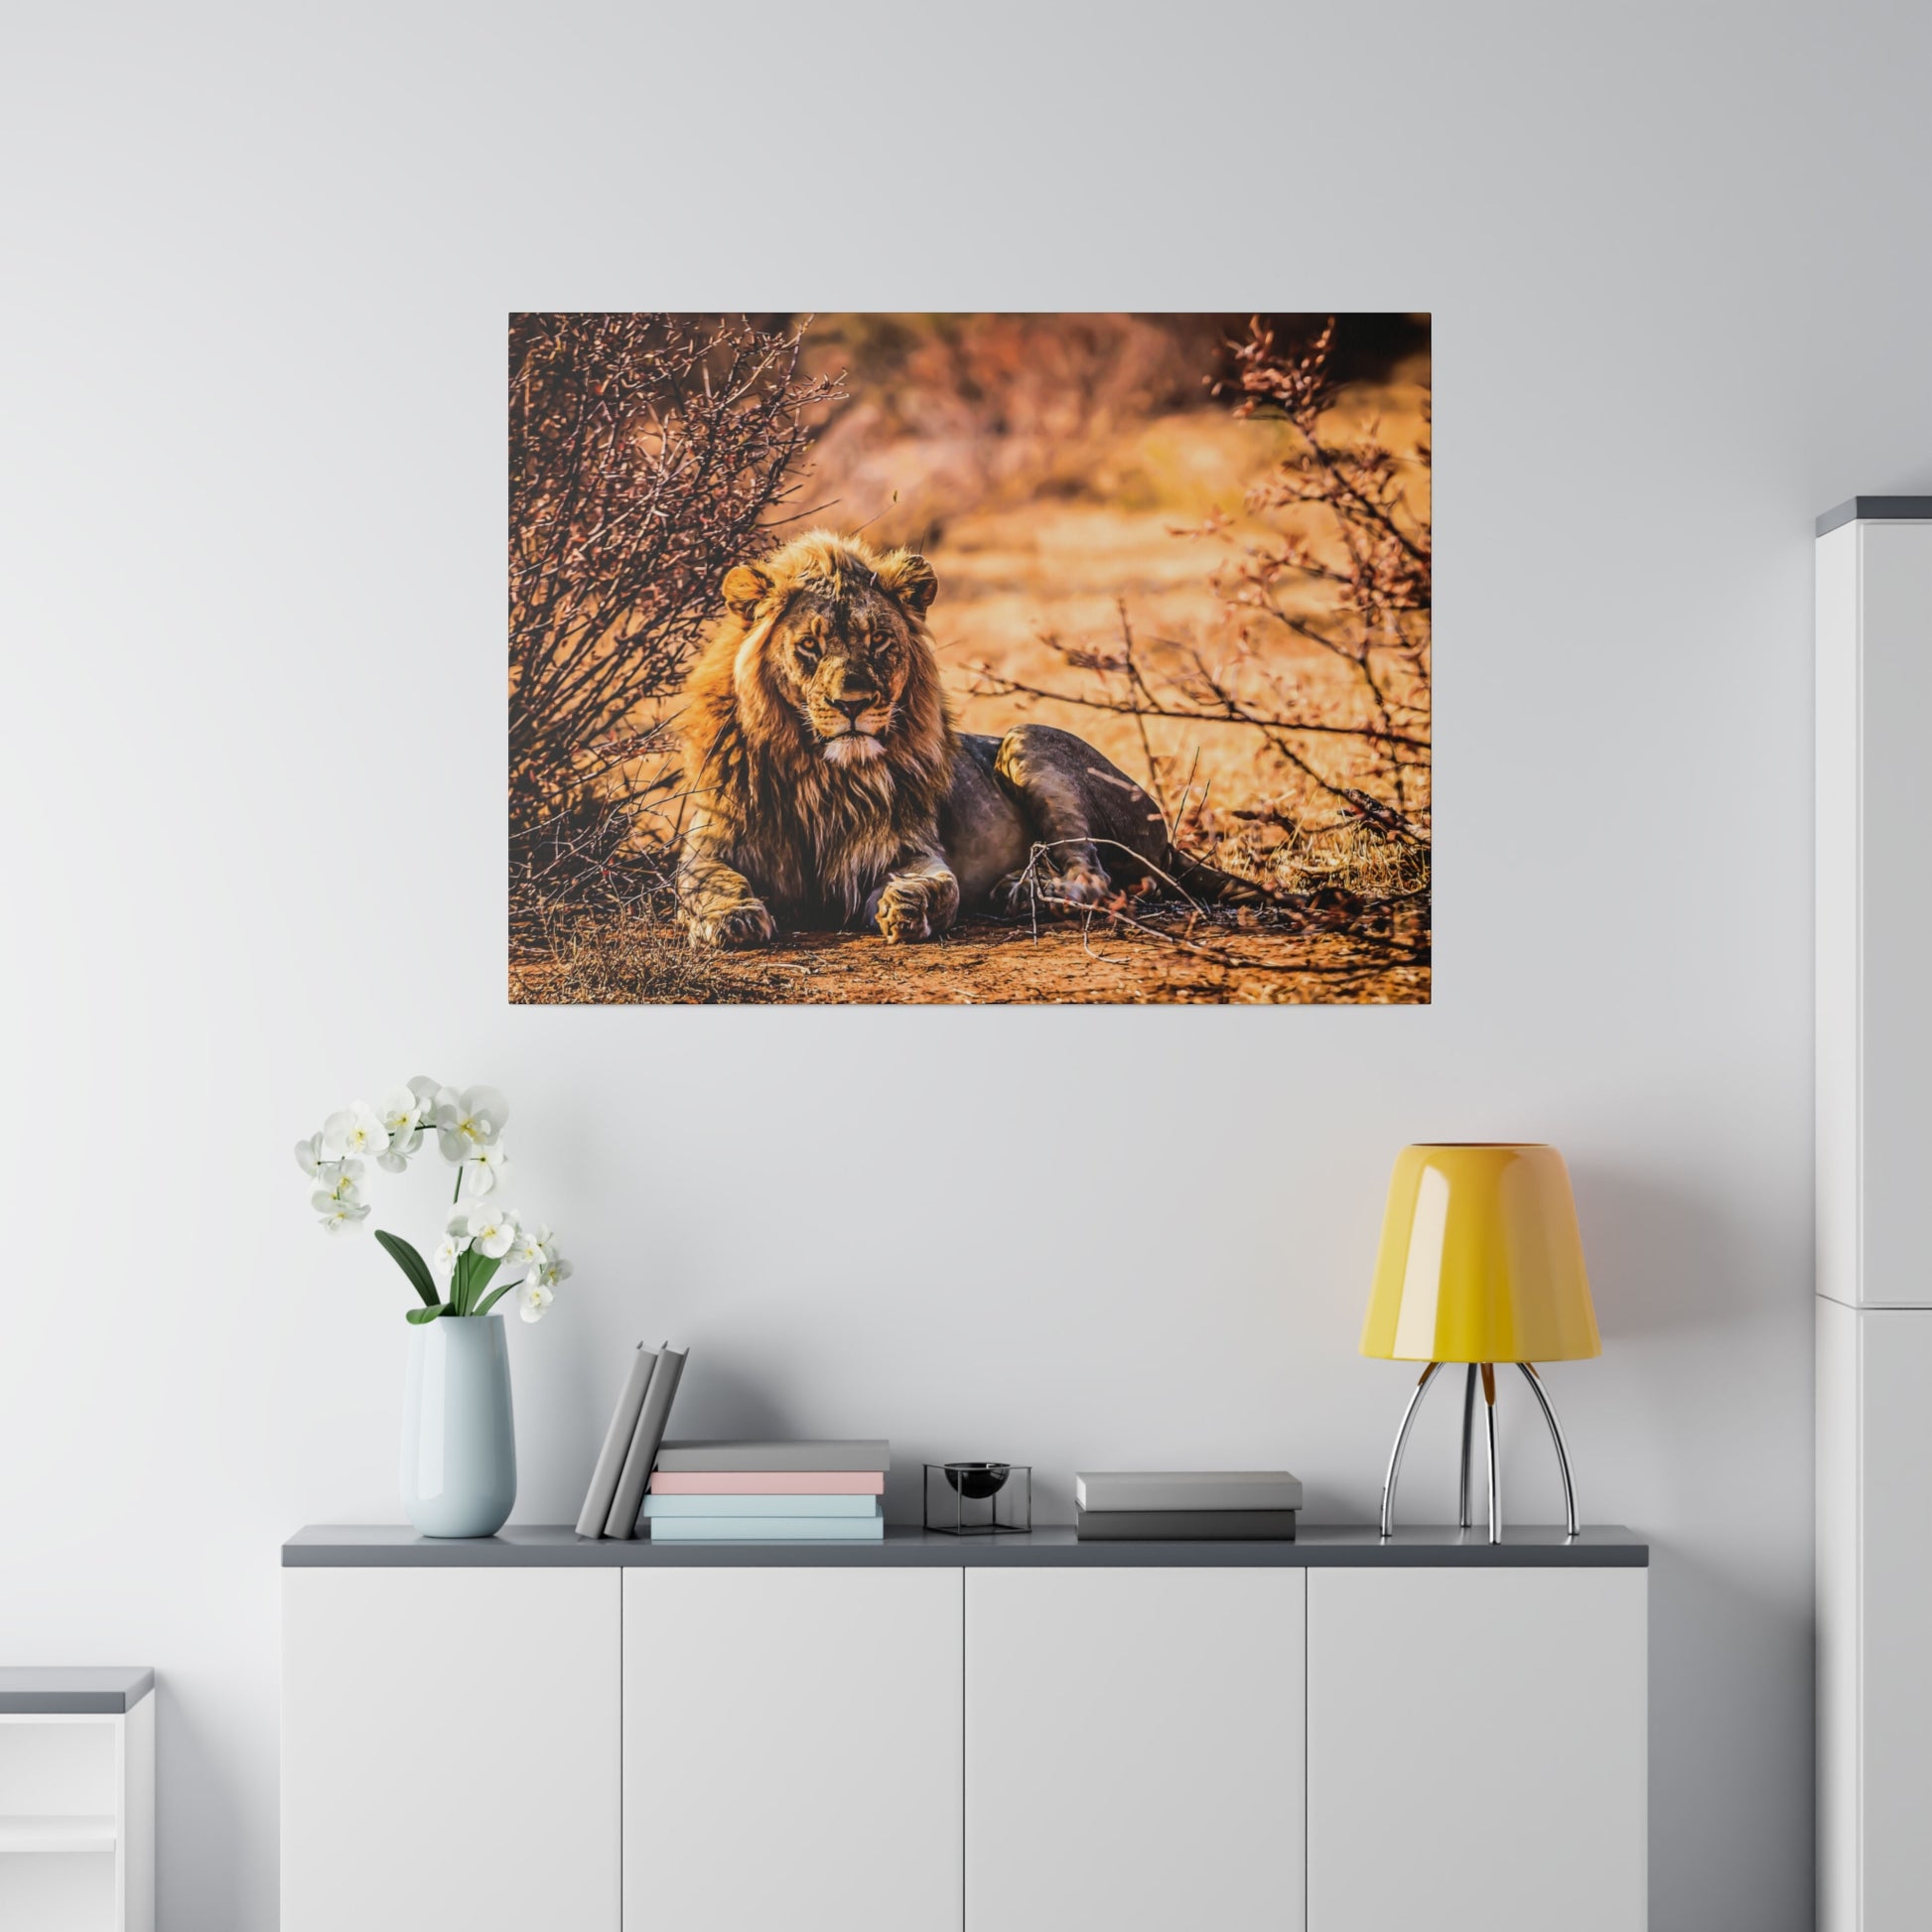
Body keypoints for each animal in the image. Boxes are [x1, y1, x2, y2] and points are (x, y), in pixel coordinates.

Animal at [679, 529, 1252, 950]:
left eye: (879, 641)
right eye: (809, 646)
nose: (853, 704)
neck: (822, 772)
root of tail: (1168, 838)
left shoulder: (906, 846)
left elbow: (943, 884)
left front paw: (907, 906)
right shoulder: (709, 843)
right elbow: (706, 882)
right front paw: (732, 918)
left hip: (1026, 741)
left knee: (1095, 880)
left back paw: (1023, 893)